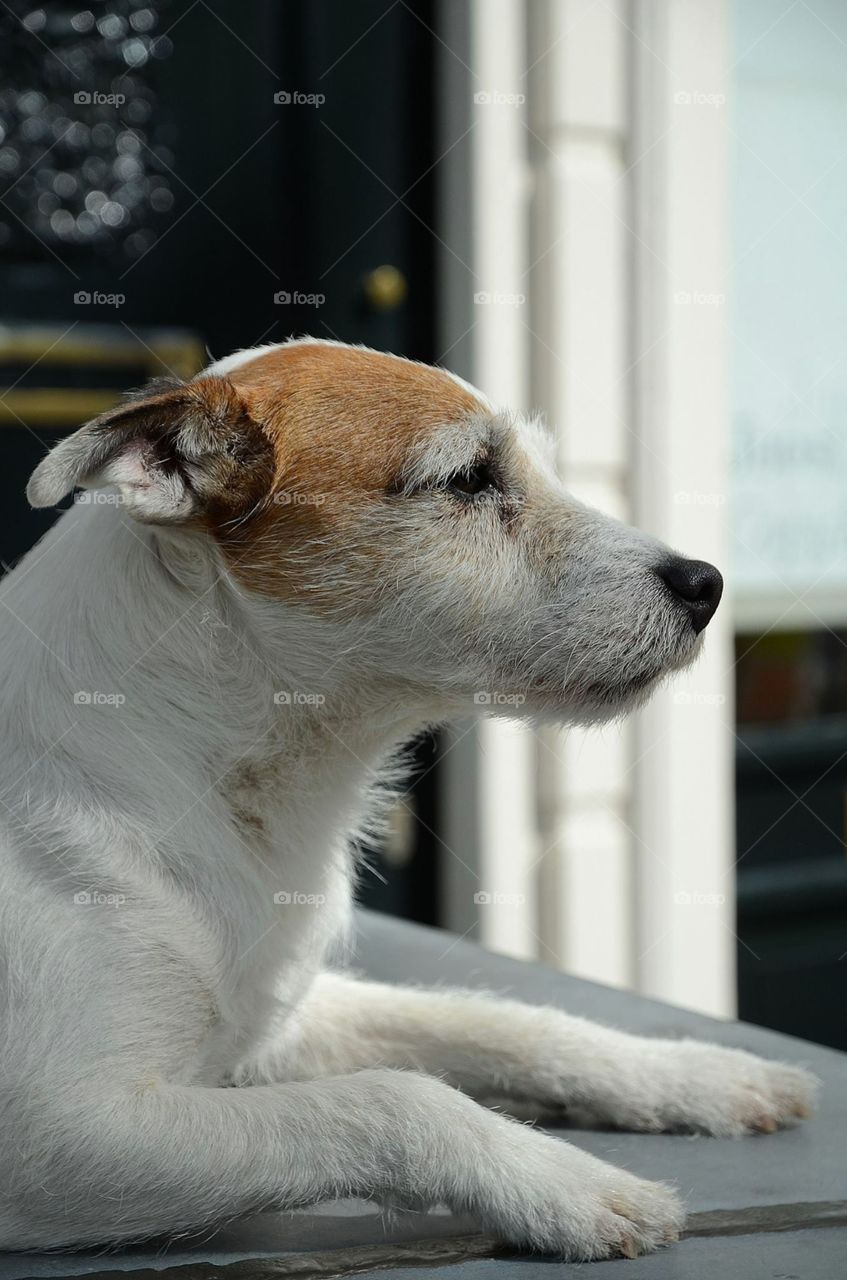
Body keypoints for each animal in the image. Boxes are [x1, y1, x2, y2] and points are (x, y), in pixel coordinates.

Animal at [1, 335, 823, 1254]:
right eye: (466, 479)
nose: (705, 584)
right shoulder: (66, 1138)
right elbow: (398, 1096)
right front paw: (568, 1188)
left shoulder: (281, 1023)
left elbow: (497, 1018)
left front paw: (691, 1072)